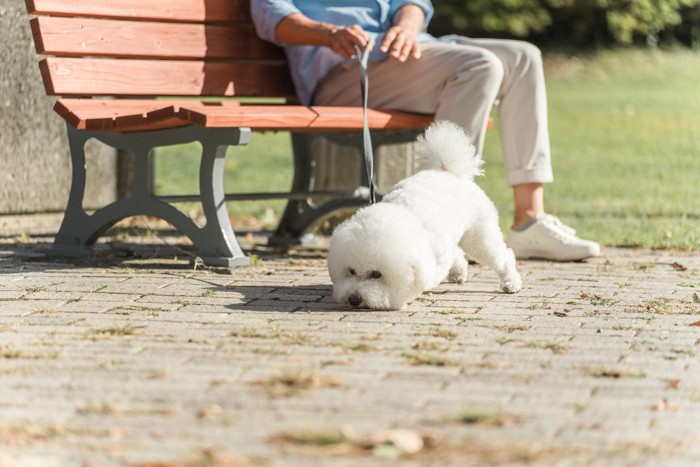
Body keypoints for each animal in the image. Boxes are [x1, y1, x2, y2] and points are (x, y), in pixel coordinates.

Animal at [326, 120, 520, 310]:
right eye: (351, 271)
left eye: (376, 274)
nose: (354, 299)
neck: (405, 217)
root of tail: (448, 172)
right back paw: (458, 273)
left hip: (479, 235)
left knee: (502, 256)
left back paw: (511, 282)